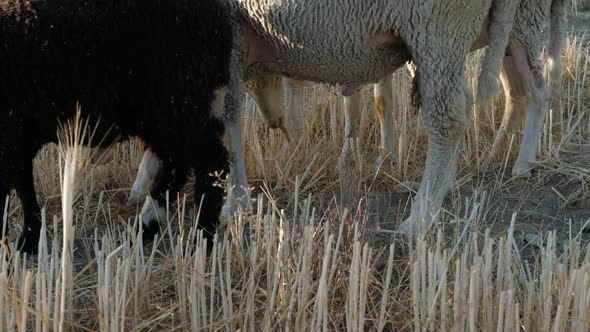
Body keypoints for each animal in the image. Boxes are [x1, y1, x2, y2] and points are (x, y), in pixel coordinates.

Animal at [0, 0, 240, 252]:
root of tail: (220, 17)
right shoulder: (18, 129)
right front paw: (28, 239)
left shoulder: (10, 127)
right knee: (176, 163)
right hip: (165, 111)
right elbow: (22, 182)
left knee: (210, 162)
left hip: (178, 99)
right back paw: (147, 226)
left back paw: (201, 241)